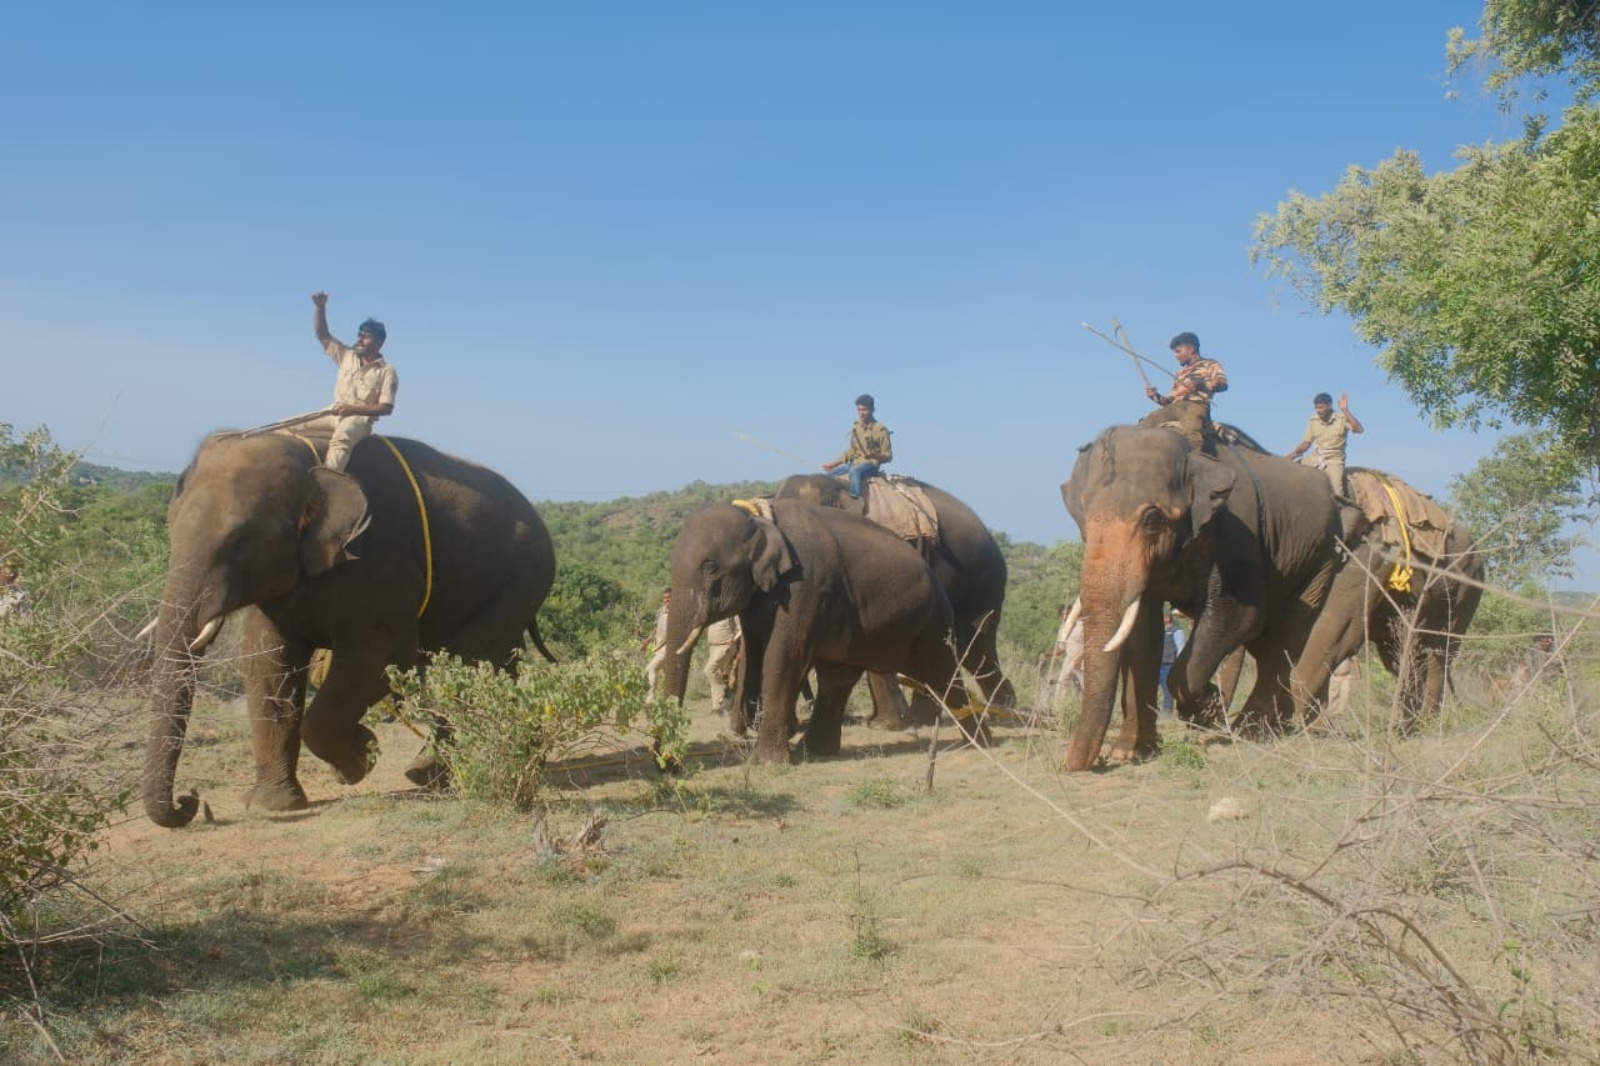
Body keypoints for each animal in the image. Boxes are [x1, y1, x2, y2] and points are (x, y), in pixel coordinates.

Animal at [143, 430, 556, 827]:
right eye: (170, 526)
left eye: (240, 541)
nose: (191, 800)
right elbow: (268, 665)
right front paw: (272, 805)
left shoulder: (381, 561)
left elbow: (379, 661)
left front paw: (359, 759)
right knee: (497, 664)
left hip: (520, 579)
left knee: (468, 664)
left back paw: (433, 772)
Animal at [659, 500, 972, 764]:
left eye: (710, 567)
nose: (671, 763)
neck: (759, 518)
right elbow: (754, 652)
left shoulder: (805, 585)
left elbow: (781, 655)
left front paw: (767, 764)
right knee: (838, 678)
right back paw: (814, 752)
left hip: (934, 621)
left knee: (944, 672)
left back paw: (973, 742)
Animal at [1059, 423, 1343, 771]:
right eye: (1083, 520)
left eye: (1152, 519)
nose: (1073, 764)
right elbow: (1144, 634)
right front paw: (1129, 752)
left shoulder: (1237, 535)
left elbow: (1241, 614)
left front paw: (1208, 708)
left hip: (1323, 558)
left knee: (1283, 638)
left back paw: (1253, 730)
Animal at [1292, 470, 1484, 730]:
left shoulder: (1358, 559)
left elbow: (1336, 629)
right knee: (1404, 653)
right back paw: (1407, 724)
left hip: (1466, 588)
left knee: (1438, 652)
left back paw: (1420, 725)